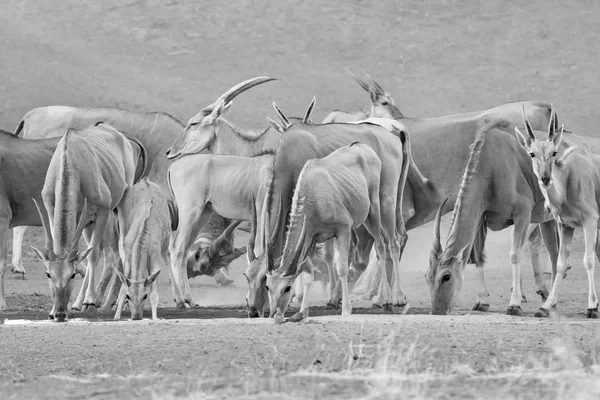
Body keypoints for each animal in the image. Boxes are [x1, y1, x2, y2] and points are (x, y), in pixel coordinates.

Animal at [30, 123, 144, 320]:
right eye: (48, 274)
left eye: (72, 276)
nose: (60, 313)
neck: (70, 161)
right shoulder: (52, 209)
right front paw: (59, 308)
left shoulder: (103, 210)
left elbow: (93, 254)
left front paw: (90, 301)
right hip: (85, 223)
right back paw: (79, 303)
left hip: (120, 204)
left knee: (119, 246)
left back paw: (111, 301)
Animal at [516, 107, 600, 318]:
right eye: (532, 153)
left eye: (554, 152)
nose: (545, 179)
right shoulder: (565, 226)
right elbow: (561, 263)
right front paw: (546, 307)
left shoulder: (590, 221)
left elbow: (588, 260)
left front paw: (592, 307)